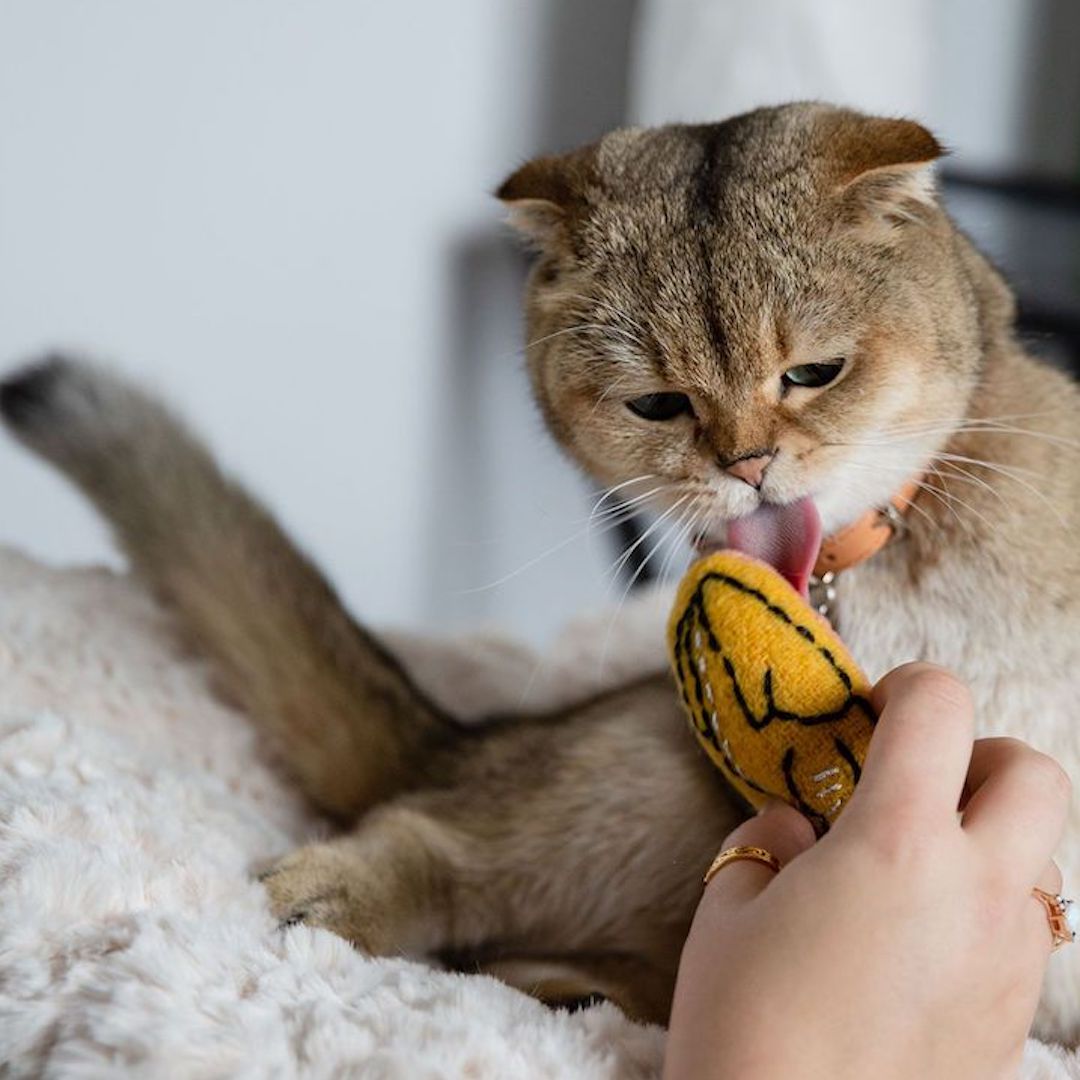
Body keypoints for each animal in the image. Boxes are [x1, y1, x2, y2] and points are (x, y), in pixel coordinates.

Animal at [2, 103, 1080, 1045]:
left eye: (816, 373)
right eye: (657, 405)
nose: (746, 465)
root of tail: (479, 743)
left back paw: (573, 992)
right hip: (640, 764)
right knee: (440, 846)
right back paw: (347, 894)